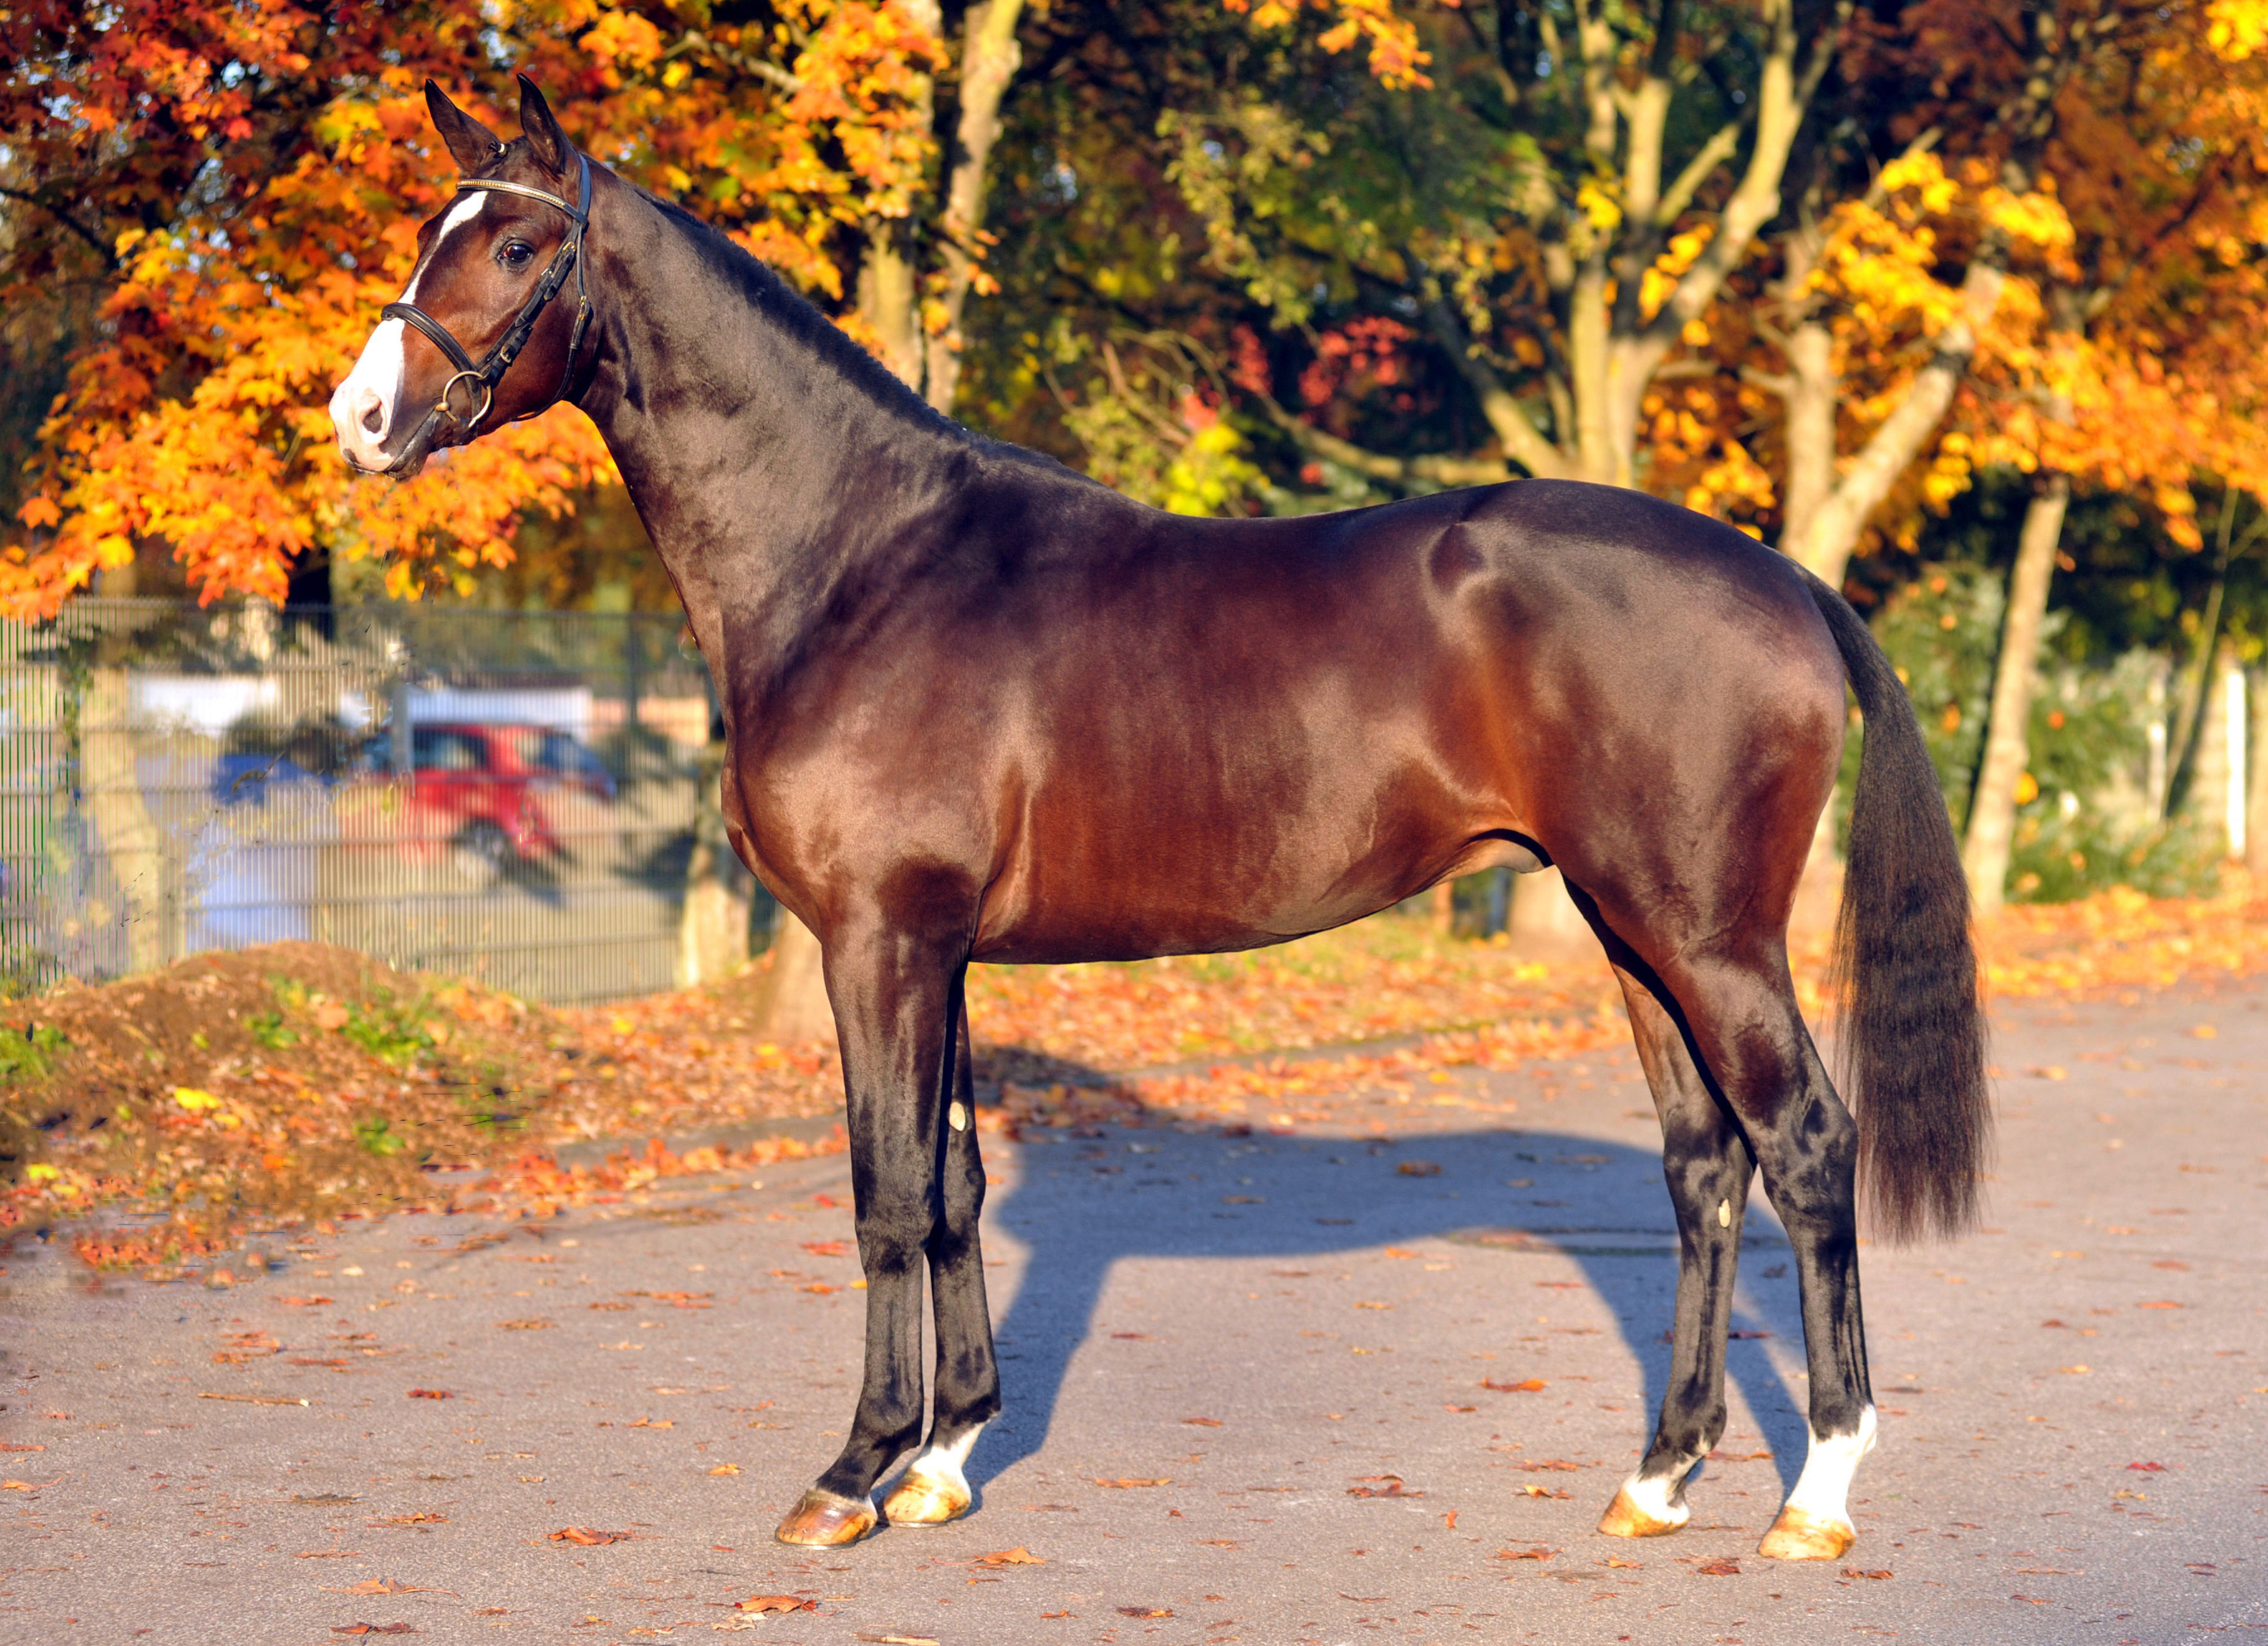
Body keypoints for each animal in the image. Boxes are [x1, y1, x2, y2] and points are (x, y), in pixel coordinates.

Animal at [324, 77, 1987, 1568]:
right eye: (431, 229)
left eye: (517, 245)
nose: (362, 418)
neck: (861, 557)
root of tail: (1782, 576)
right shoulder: (939, 951)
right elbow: (950, 1187)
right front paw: (944, 1459)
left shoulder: (877, 939)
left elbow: (882, 1195)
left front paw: (852, 1472)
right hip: (1630, 930)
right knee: (1704, 1167)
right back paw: (1656, 1475)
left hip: (1706, 935)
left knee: (1806, 1144)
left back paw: (1813, 1494)